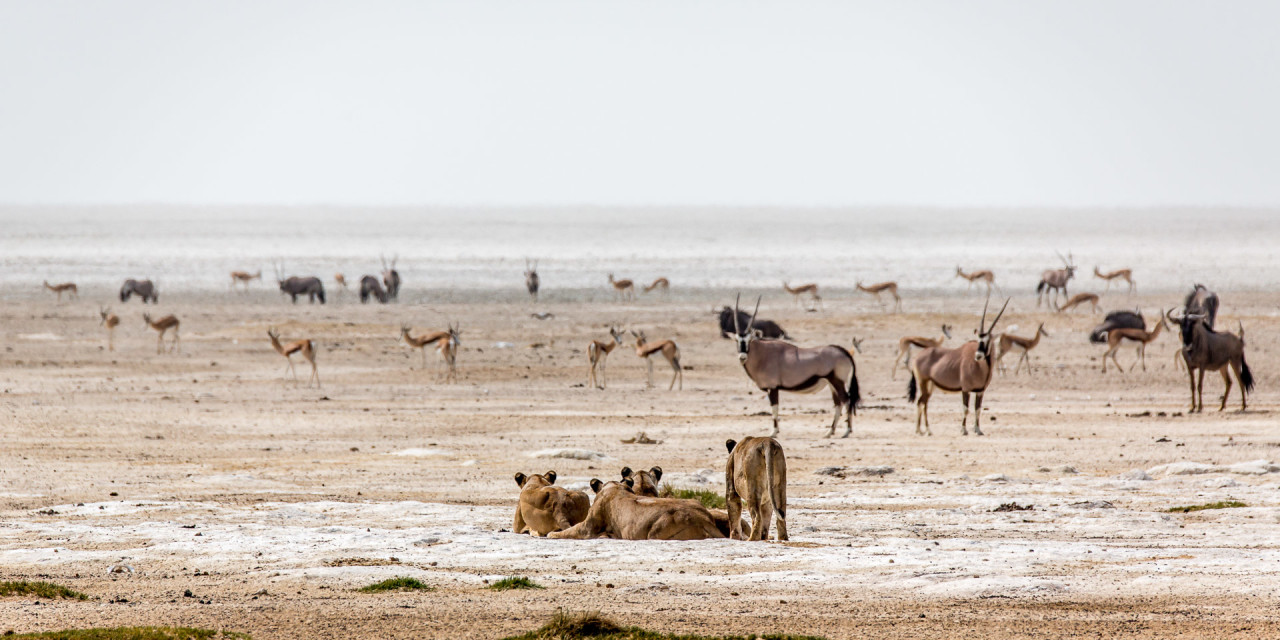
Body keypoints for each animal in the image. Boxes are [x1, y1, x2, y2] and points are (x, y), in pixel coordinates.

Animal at [545, 481, 727, 540]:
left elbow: (572, 530)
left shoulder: (588, 528)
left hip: (656, 532)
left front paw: (552, 534)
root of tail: (703, 519)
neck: (616, 488)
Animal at [732, 295, 860, 437]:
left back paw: (847, 431)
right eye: (736, 340)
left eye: (749, 340)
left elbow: (774, 409)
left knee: (847, 400)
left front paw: (774, 432)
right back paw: (830, 432)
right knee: (838, 404)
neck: (762, 353)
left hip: (837, 381)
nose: (742, 357)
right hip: (832, 384)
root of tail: (843, 351)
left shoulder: (772, 388)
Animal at [911, 298, 1008, 435]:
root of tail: (917, 357)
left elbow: (978, 409)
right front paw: (963, 430)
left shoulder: (980, 391)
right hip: (923, 382)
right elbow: (965, 409)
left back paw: (923, 430)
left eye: (988, 340)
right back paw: (924, 430)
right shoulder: (965, 389)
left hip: (930, 386)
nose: (978, 355)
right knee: (921, 402)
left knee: (923, 403)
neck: (982, 368)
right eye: (979, 340)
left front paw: (978, 430)